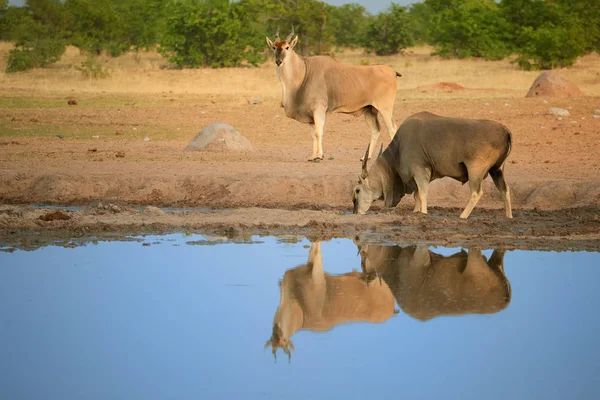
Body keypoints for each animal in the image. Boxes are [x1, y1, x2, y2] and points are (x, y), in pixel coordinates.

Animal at [264, 241, 396, 362]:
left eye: (284, 341)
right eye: (272, 341)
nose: (277, 334)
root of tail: (391, 308)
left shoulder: (316, 270)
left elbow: (316, 247)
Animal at [352, 110, 516, 219]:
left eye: (357, 190)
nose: (355, 212)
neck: (398, 149)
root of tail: (505, 130)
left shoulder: (420, 170)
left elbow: (422, 194)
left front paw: (423, 213)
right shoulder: (425, 174)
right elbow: (417, 195)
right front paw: (416, 212)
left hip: (475, 171)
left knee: (476, 193)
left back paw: (462, 216)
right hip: (497, 170)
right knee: (505, 190)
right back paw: (508, 217)